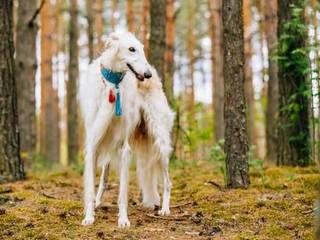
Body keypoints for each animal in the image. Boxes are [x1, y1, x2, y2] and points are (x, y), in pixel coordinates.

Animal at [79, 31, 175, 227]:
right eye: (131, 49)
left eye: (142, 49)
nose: (147, 74)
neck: (112, 85)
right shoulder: (93, 144)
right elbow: (91, 187)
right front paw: (89, 216)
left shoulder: (124, 147)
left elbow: (123, 192)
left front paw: (123, 219)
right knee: (104, 178)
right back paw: (98, 201)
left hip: (160, 141)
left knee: (168, 182)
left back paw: (164, 209)